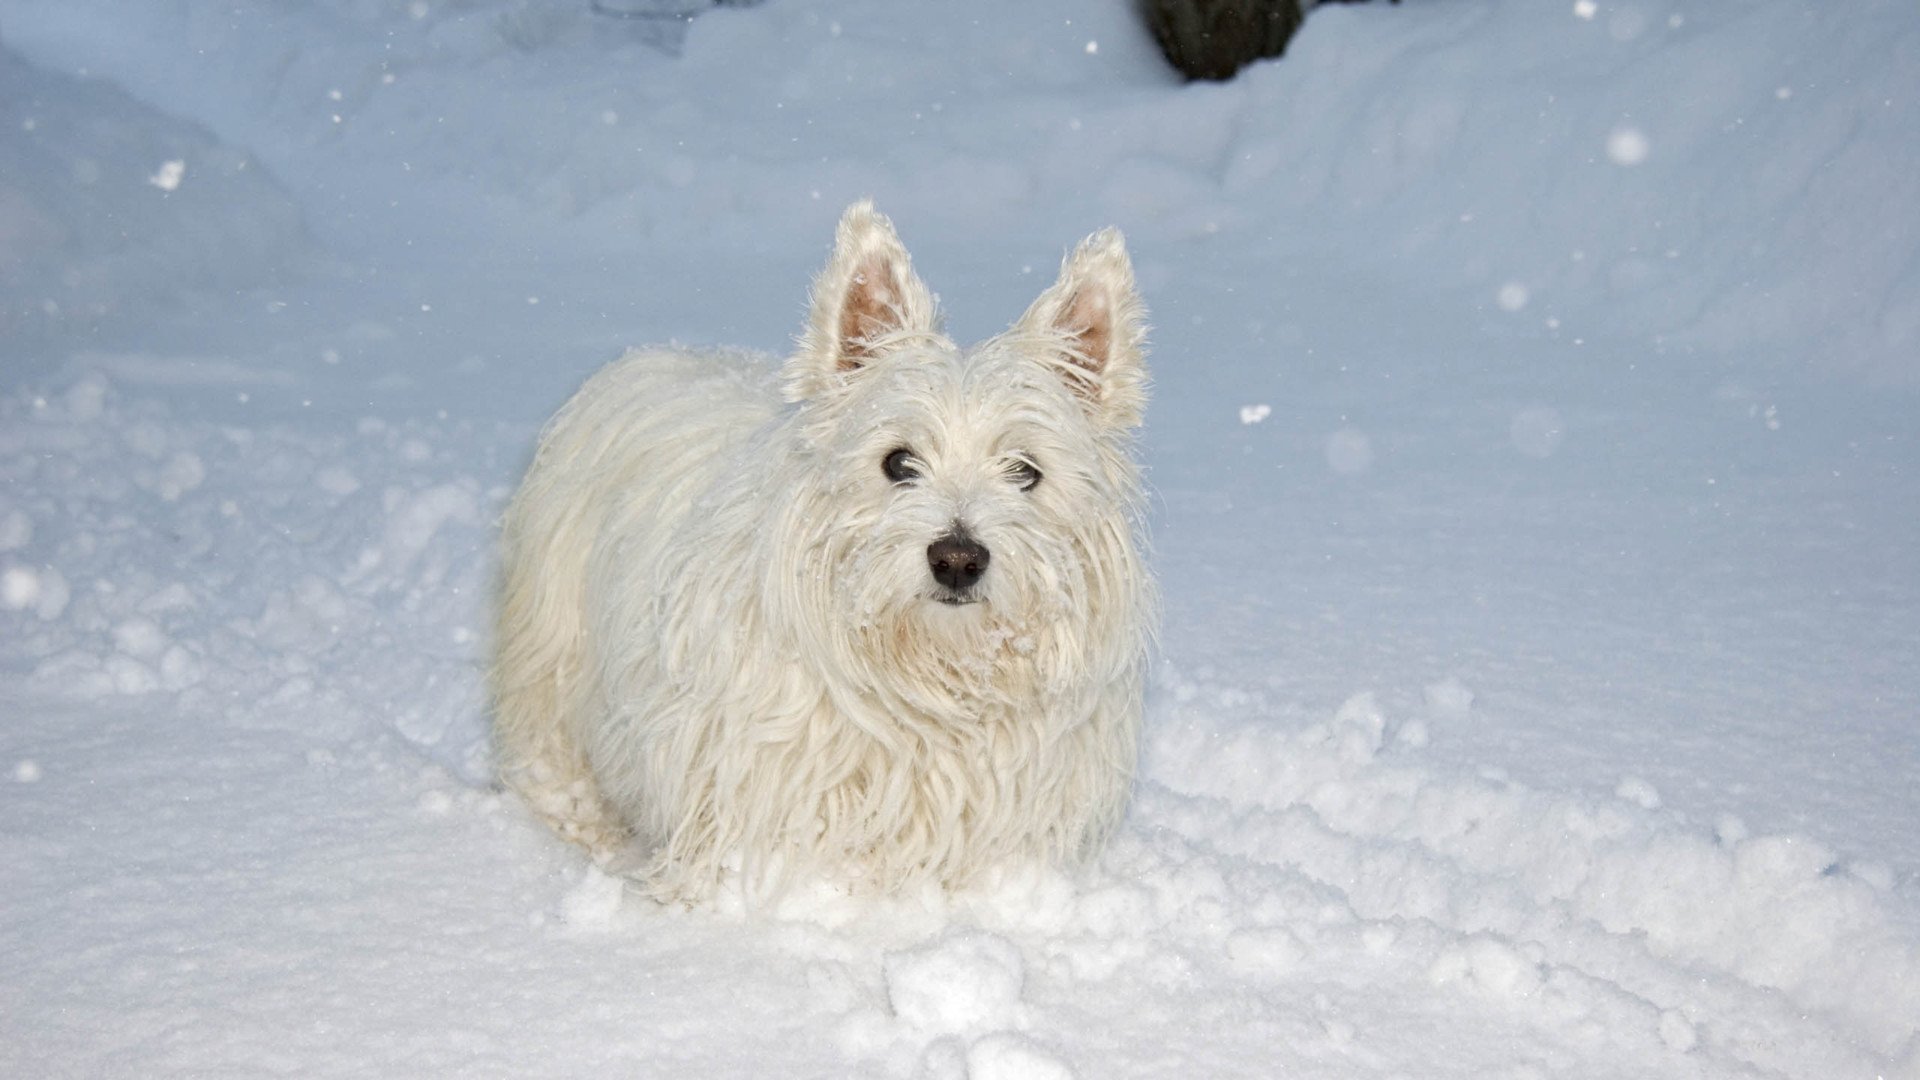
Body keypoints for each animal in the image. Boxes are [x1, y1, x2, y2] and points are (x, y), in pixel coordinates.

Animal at [495, 199, 1152, 899]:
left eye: (1025, 471)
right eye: (898, 462)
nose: (957, 559)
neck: (930, 687)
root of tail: (651, 354)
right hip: (552, 658)